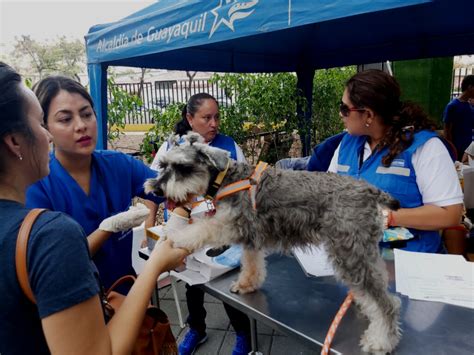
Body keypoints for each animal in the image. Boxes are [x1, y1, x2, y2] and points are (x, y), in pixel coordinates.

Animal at [144, 133, 400, 354]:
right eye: (162, 165)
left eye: (183, 167)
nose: (155, 188)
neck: (226, 178)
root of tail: (371, 191)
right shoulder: (250, 237)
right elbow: (251, 264)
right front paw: (246, 285)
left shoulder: (231, 224)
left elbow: (202, 228)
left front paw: (177, 237)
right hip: (362, 250)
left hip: (348, 252)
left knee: (386, 302)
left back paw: (380, 340)